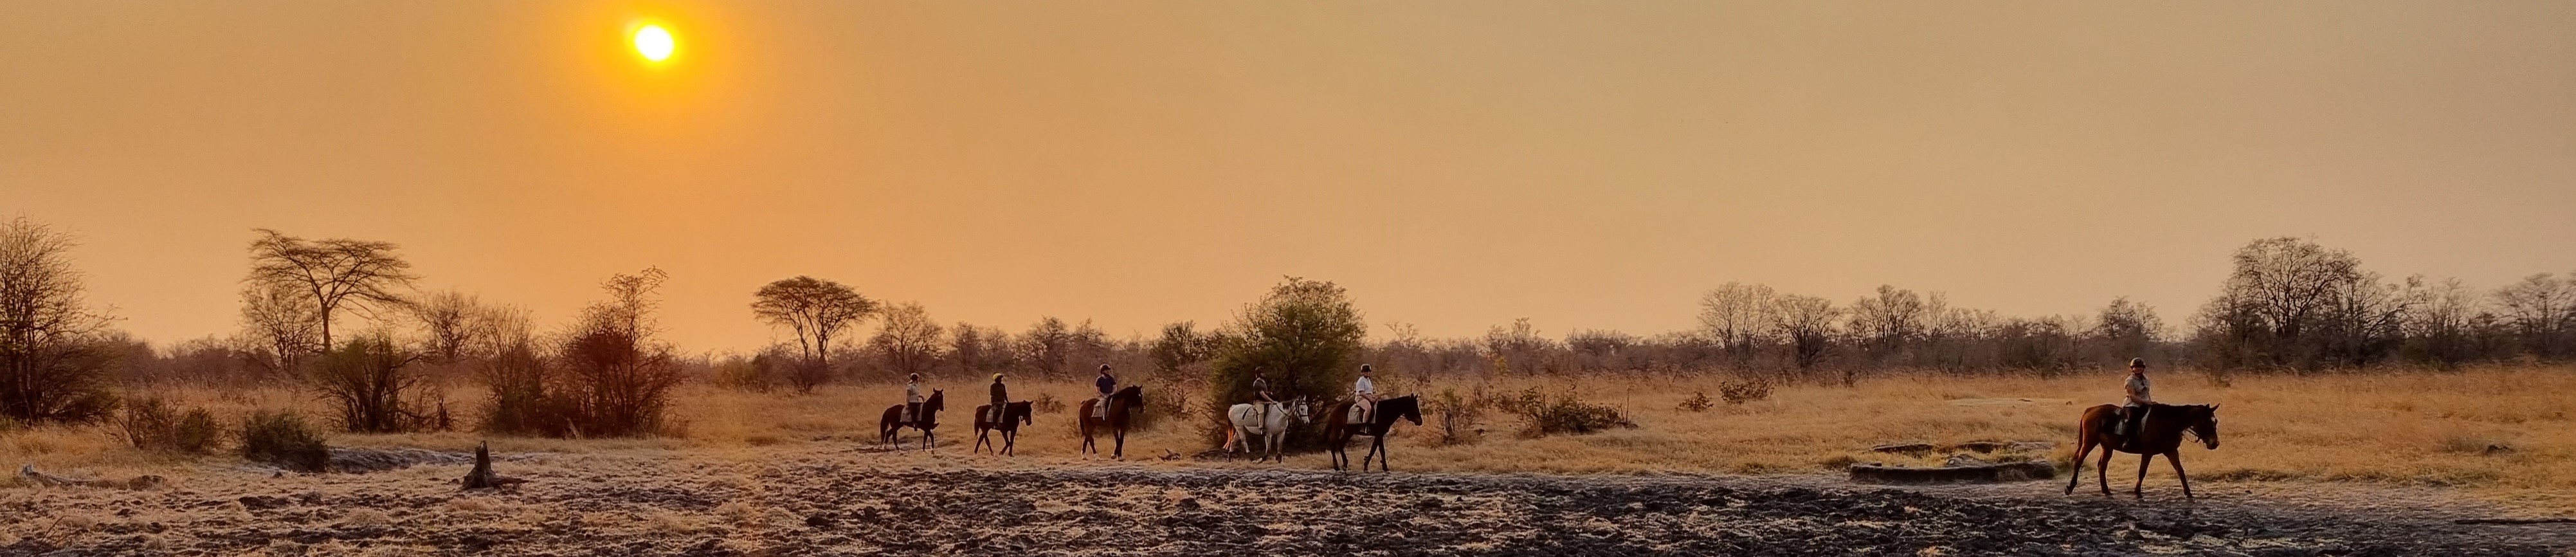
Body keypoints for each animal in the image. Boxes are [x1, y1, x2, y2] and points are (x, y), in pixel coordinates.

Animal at [1220, 397, 1309, 464]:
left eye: (1307, 408)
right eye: (1301, 409)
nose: (1307, 422)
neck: (1279, 415)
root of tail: (1233, 407)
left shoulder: (1281, 433)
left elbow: (1280, 447)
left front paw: (1279, 460)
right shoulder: (1269, 434)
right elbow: (1268, 449)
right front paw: (1262, 460)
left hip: (1241, 429)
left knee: (1233, 441)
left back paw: (1230, 459)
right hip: (1239, 428)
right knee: (1244, 442)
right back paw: (1252, 458)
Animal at [1329, 394, 1432, 471]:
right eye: (1413, 406)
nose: (1420, 422)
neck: (1384, 412)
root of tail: (1334, 409)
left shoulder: (1379, 435)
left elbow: (1374, 449)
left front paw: (1366, 465)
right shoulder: (1379, 434)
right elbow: (1381, 450)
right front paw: (1385, 467)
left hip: (1349, 431)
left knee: (1341, 443)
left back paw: (1345, 464)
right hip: (1338, 429)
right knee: (1333, 444)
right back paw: (1336, 466)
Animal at [2060, 402, 2226, 497]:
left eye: (2216, 421)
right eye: (2206, 421)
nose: (2215, 443)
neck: (2167, 422)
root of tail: (2090, 410)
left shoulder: (2171, 451)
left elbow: (2180, 471)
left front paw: (2188, 493)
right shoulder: (2148, 452)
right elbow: (2142, 471)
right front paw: (2137, 492)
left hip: (2107, 447)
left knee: (2102, 466)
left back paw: (2106, 490)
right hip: (2089, 442)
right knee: (2079, 462)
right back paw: (2069, 488)